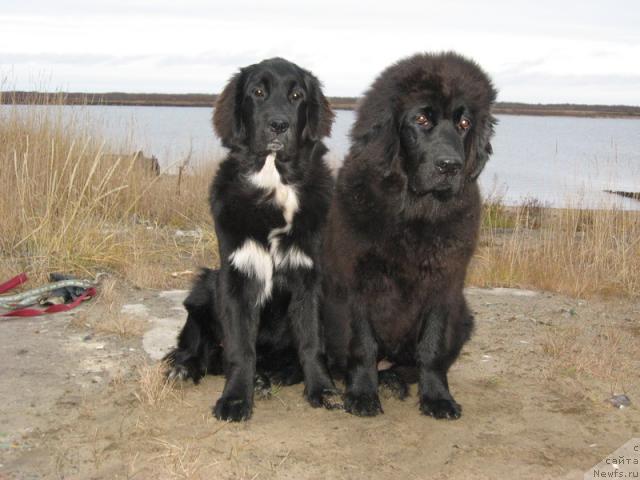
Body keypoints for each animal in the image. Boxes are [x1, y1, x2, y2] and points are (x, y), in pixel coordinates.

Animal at [165, 58, 338, 422]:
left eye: (297, 95)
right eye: (257, 92)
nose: (279, 125)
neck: (274, 182)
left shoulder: (309, 277)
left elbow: (311, 341)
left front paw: (323, 390)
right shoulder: (236, 276)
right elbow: (241, 348)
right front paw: (235, 399)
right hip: (204, 286)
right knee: (198, 346)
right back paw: (186, 368)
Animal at [322, 52, 498, 418]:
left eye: (464, 124)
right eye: (420, 118)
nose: (450, 166)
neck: (414, 211)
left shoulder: (444, 283)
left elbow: (431, 347)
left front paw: (437, 397)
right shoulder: (356, 281)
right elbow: (363, 344)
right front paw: (362, 394)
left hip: (464, 317)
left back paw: (394, 379)